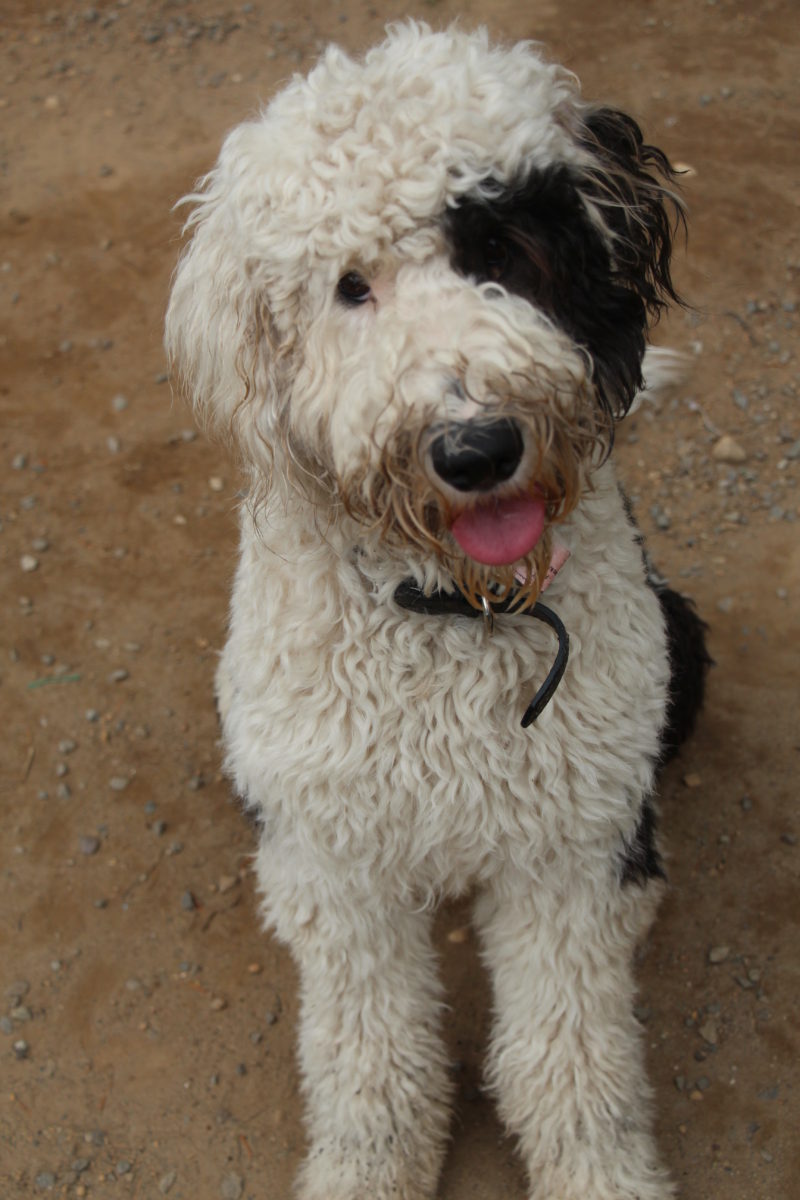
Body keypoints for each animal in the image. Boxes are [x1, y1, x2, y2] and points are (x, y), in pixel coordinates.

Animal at [165, 25, 710, 1200]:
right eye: (348, 285)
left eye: (500, 246)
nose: (475, 446)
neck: (456, 611)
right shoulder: (344, 866)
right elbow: (371, 1055)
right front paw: (366, 1167)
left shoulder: (561, 853)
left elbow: (570, 1056)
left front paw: (601, 1174)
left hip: (675, 657)